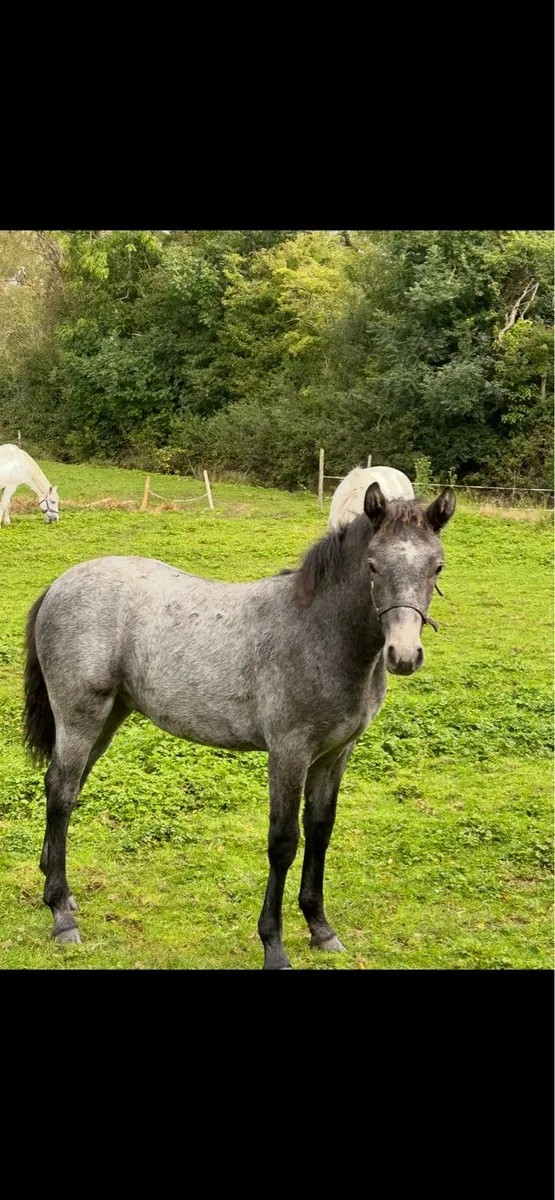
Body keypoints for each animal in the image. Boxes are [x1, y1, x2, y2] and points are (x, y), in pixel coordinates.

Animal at [23, 482, 456, 969]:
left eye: (437, 566)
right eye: (372, 565)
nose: (404, 655)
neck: (320, 632)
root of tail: (60, 583)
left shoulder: (334, 754)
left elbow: (320, 830)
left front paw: (321, 929)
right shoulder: (289, 752)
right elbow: (284, 841)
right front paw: (274, 946)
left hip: (108, 717)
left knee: (67, 787)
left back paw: (61, 893)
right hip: (80, 715)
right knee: (61, 792)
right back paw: (61, 915)